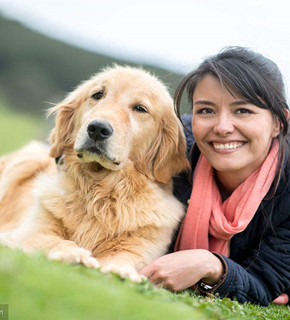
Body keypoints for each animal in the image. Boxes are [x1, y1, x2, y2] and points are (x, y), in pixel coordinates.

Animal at [0, 66, 188, 282]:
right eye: (98, 95)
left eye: (140, 108)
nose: (98, 128)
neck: (99, 191)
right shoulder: (33, 230)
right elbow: (56, 241)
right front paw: (74, 254)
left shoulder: (141, 246)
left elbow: (127, 257)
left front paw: (122, 271)